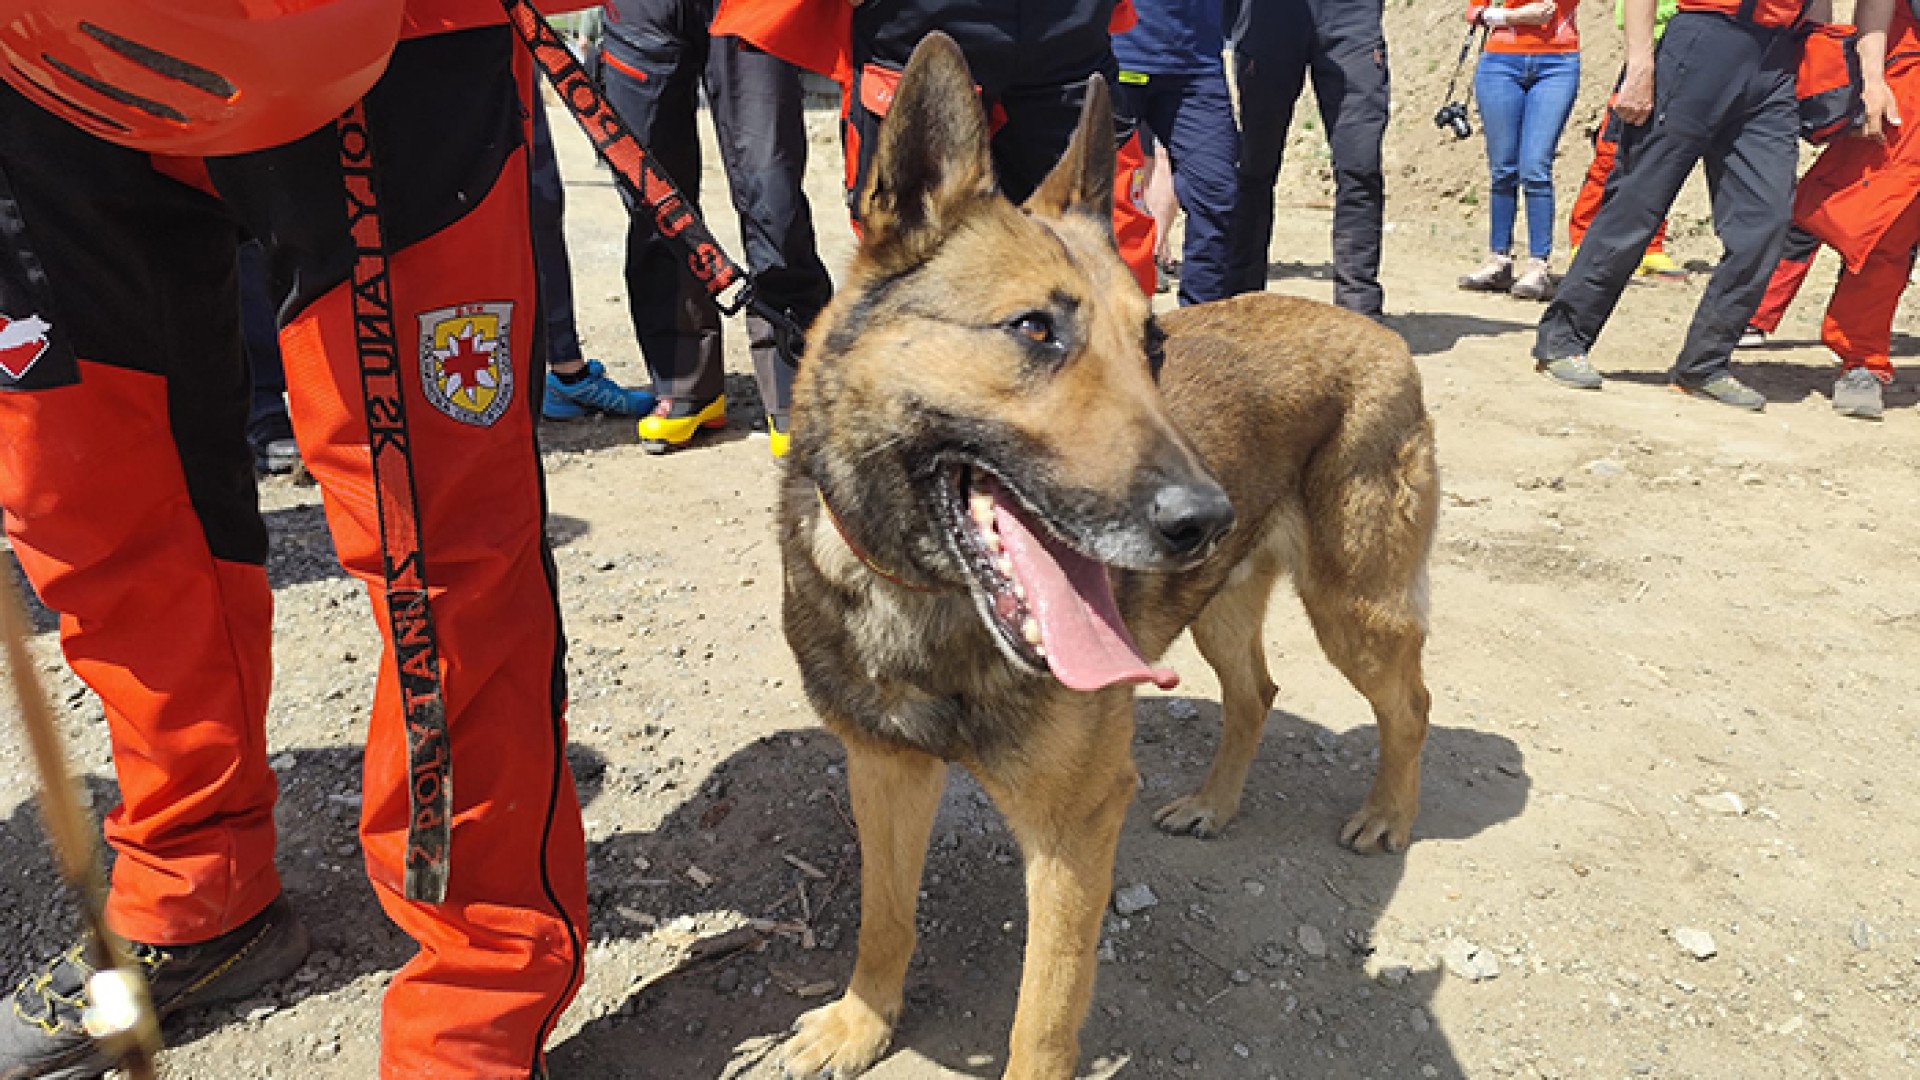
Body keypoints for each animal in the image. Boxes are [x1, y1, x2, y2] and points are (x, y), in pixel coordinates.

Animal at [779, 33, 1443, 1076]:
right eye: (1034, 330)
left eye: (1153, 347)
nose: (1203, 516)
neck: (927, 596)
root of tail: (1375, 330)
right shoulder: (884, 770)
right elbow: (884, 917)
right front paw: (862, 1021)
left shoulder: (1075, 825)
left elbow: (1043, 1016)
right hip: (1221, 607)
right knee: (1257, 693)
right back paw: (1214, 802)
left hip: (1354, 609)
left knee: (1409, 704)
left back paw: (1388, 816)